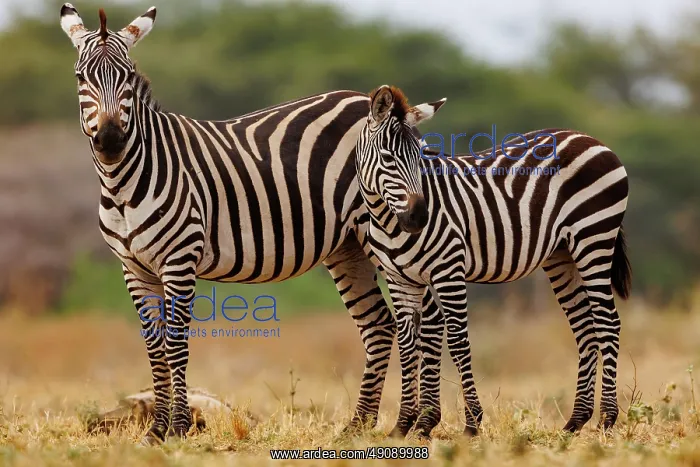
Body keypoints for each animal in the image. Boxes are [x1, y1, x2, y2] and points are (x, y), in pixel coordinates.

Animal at [58, 4, 440, 444]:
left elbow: (175, 342)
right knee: (379, 325)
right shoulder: (133, 267)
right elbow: (154, 346)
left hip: (388, 233)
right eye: (80, 77)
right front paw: (156, 431)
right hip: (349, 246)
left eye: (128, 75)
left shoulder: (179, 259)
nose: (110, 140)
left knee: (424, 319)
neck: (125, 181)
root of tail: (381, 106)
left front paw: (179, 428)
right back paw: (358, 426)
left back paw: (414, 424)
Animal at [355, 85, 631, 439]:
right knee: (585, 328)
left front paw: (472, 423)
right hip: (562, 255)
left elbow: (458, 340)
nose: (419, 218)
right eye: (388, 158)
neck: (388, 222)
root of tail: (591, 139)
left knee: (608, 322)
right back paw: (575, 422)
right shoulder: (400, 279)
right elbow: (407, 345)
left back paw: (607, 419)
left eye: (422, 158)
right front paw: (404, 425)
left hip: (593, 238)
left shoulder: (448, 270)